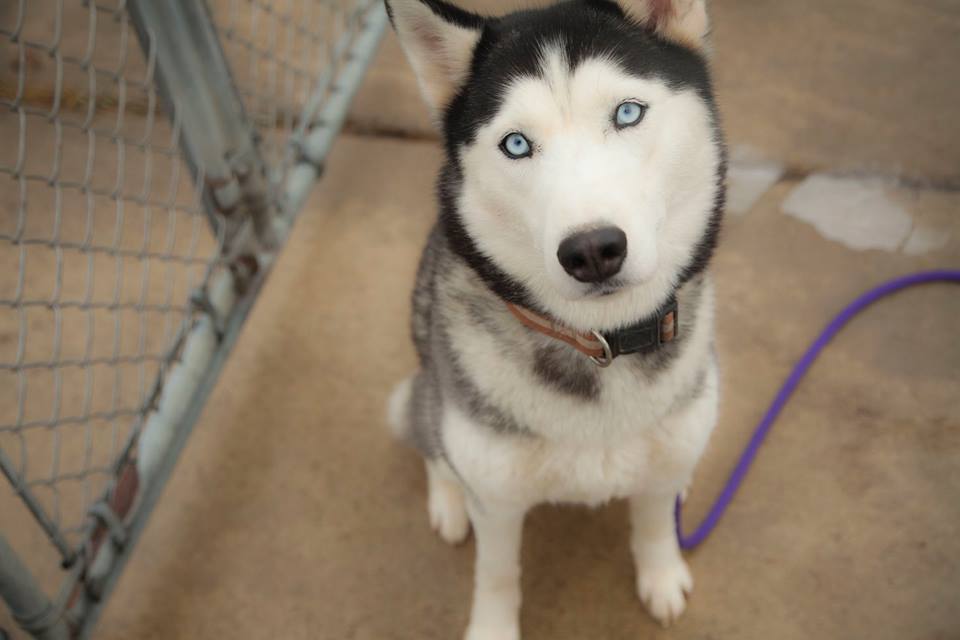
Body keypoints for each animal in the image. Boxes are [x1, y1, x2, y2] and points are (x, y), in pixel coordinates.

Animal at [386, 0, 724, 636]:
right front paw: (492, 628)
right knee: (430, 437)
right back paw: (447, 497)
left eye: (627, 112)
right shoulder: (496, 497)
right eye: (517, 144)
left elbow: (653, 523)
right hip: (429, 390)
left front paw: (661, 576)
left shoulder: (670, 446)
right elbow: (496, 573)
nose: (592, 250)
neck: (602, 344)